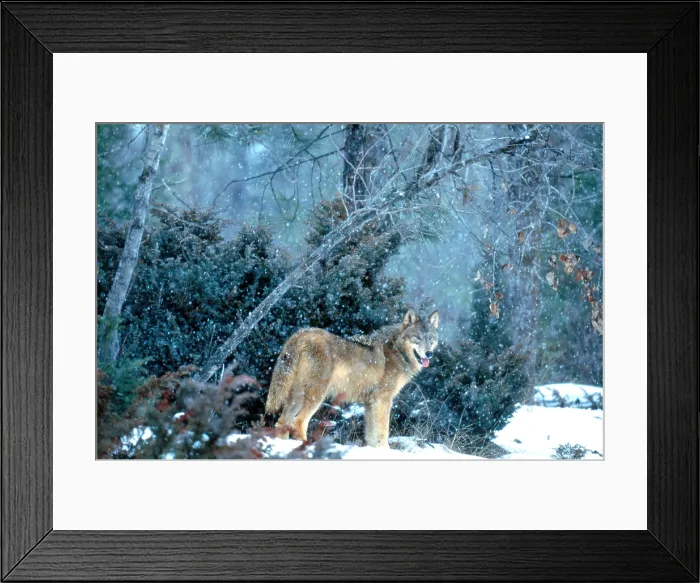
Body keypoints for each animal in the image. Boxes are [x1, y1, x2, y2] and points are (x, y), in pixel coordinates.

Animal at [265, 309, 438, 448]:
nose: (429, 353)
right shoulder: (383, 399)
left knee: (282, 422)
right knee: (298, 423)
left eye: (431, 338)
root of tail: (300, 334)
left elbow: (371, 435)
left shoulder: (370, 403)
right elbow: (383, 432)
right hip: (316, 396)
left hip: (297, 396)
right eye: (417, 338)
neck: (397, 351)